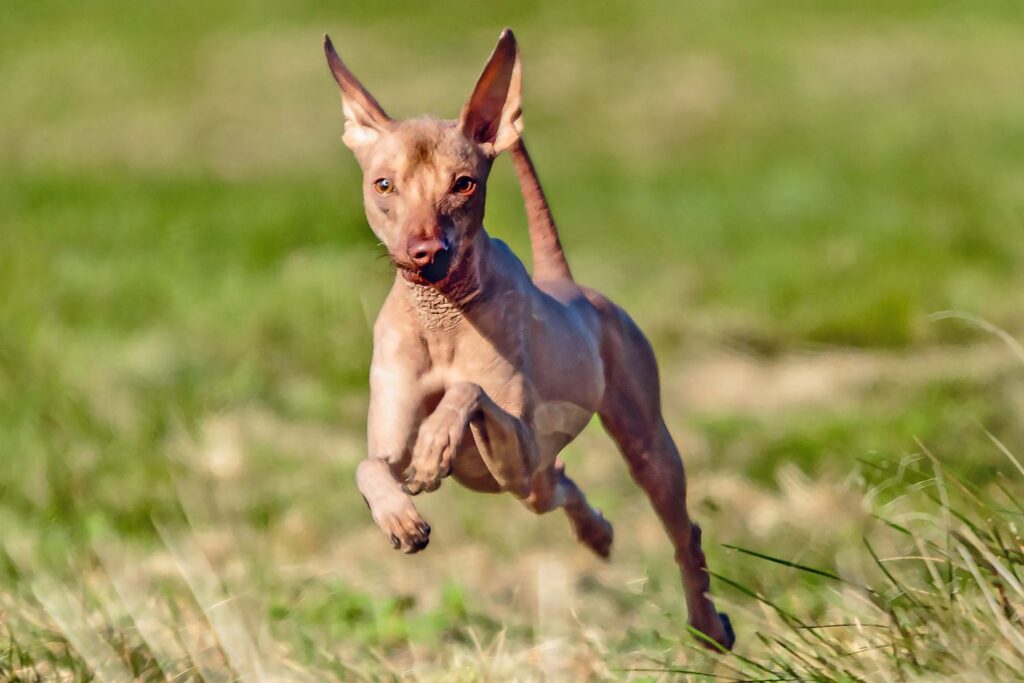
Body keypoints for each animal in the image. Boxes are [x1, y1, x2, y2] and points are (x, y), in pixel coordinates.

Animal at [323, 28, 733, 651]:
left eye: (463, 183)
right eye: (383, 184)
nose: (424, 252)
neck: (443, 317)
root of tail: (566, 284)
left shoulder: (517, 445)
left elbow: (467, 392)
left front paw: (436, 445)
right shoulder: (395, 441)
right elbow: (368, 466)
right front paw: (401, 517)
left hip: (641, 447)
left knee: (683, 530)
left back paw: (709, 625)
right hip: (533, 483)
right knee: (559, 483)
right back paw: (596, 532)